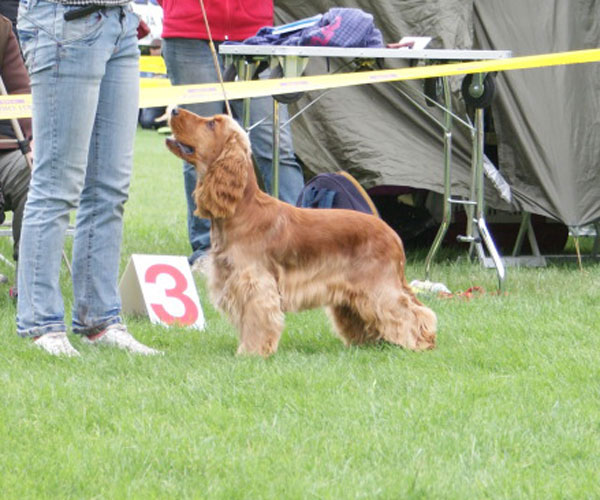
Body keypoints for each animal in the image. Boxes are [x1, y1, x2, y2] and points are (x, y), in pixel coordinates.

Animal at [166, 109, 436, 356]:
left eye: (212, 123)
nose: (174, 110)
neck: (241, 210)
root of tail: (392, 233)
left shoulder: (255, 284)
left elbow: (256, 321)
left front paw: (251, 352)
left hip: (379, 286)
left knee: (413, 313)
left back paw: (421, 342)